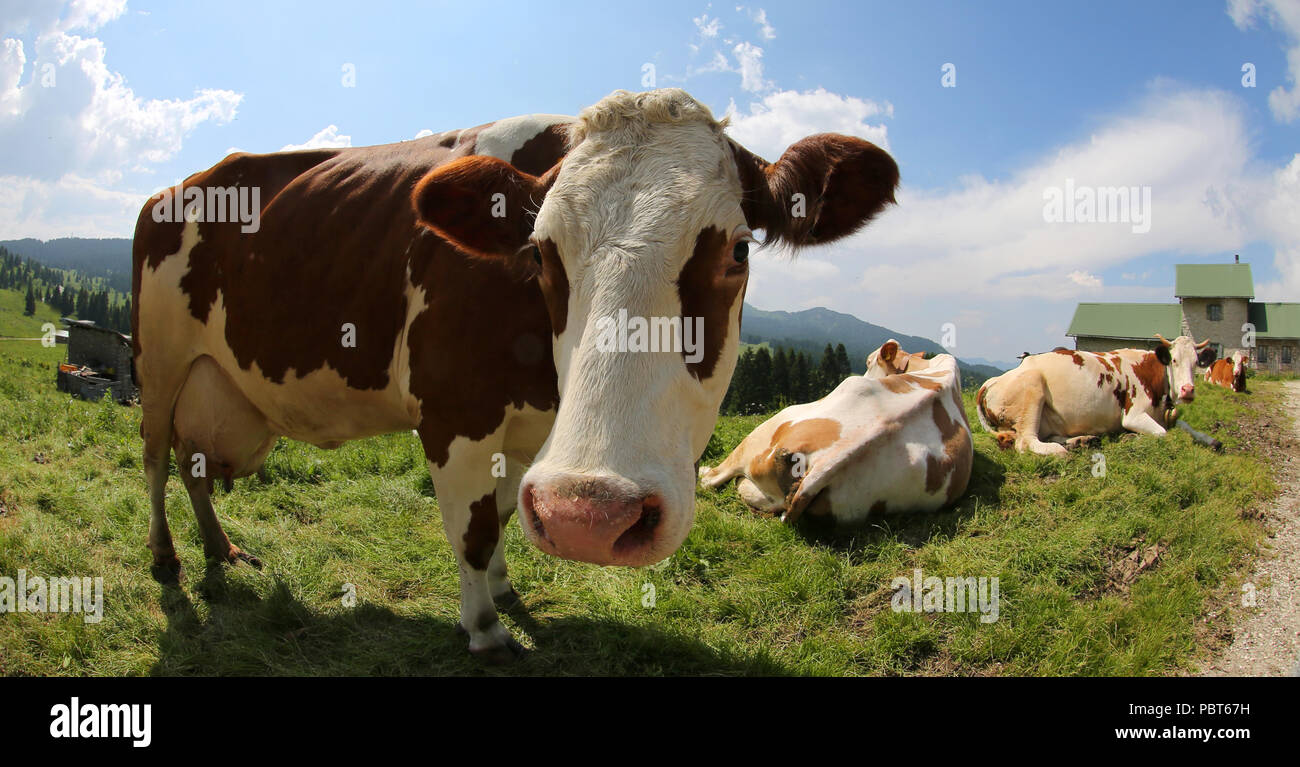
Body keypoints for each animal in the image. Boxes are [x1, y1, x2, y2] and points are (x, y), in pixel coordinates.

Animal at [131, 88, 899, 661]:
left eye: (738, 250)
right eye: (539, 252)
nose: (591, 518)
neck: (545, 389)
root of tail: (182, 185)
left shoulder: (528, 437)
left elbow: (502, 512)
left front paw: (501, 588)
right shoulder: (454, 412)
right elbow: (471, 526)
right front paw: (484, 628)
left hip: (211, 379)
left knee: (195, 463)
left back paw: (220, 548)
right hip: (159, 360)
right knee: (156, 459)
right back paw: (168, 558)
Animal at [974, 334, 1208, 455]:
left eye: (1197, 362)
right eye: (1174, 360)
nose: (1188, 390)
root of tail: (992, 381)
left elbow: (1185, 426)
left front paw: (1210, 440)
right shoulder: (1133, 414)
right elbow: (1162, 433)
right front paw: (1131, 436)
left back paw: (1081, 440)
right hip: (1032, 386)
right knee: (1026, 442)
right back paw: (1061, 449)